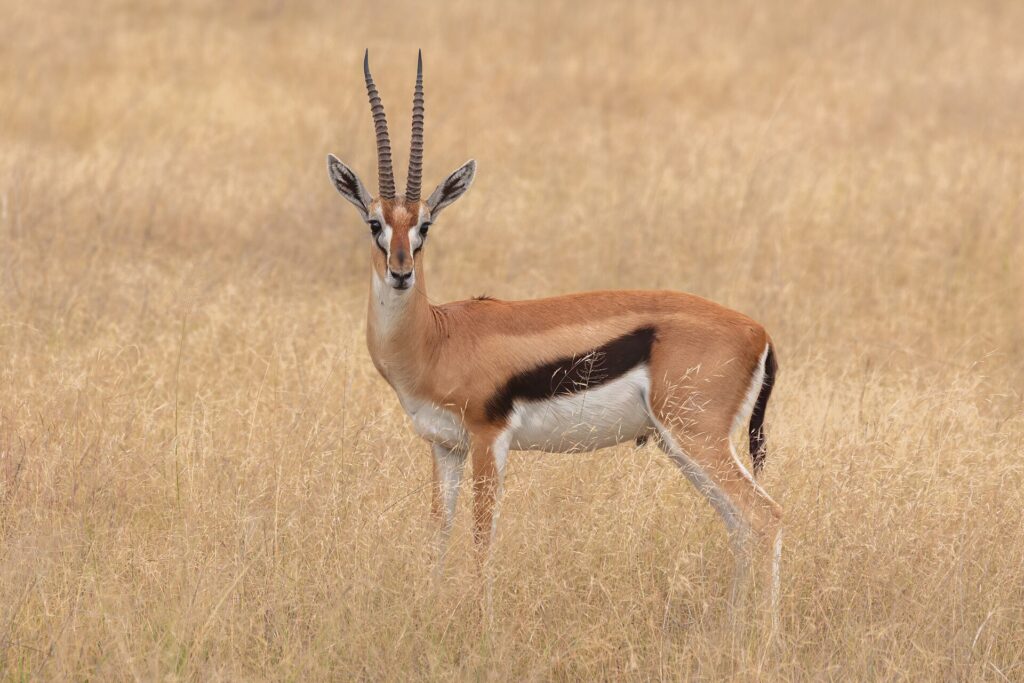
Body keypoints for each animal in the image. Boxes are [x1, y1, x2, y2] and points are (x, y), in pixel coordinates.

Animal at [326, 51, 783, 619]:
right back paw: (730, 628)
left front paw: (481, 623)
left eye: (425, 225)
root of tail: (759, 331)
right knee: (740, 527)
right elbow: (438, 534)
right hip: (683, 445)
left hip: (696, 438)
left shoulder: (488, 439)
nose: (401, 272)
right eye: (374, 224)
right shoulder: (444, 447)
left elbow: (481, 539)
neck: (436, 338)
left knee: (766, 519)